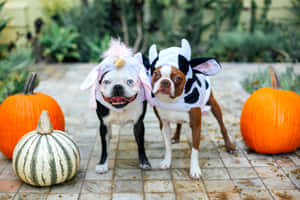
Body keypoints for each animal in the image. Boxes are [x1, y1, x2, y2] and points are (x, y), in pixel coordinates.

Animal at [144, 38, 236, 178]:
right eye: (156, 74)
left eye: (178, 78)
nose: (165, 82)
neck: (173, 101)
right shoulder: (163, 124)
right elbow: (167, 146)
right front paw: (167, 161)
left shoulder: (196, 125)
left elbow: (194, 150)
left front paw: (194, 170)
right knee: (179, 124)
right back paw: (176, 137)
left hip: (213, 105)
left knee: (222, 126)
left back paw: (229, 146)